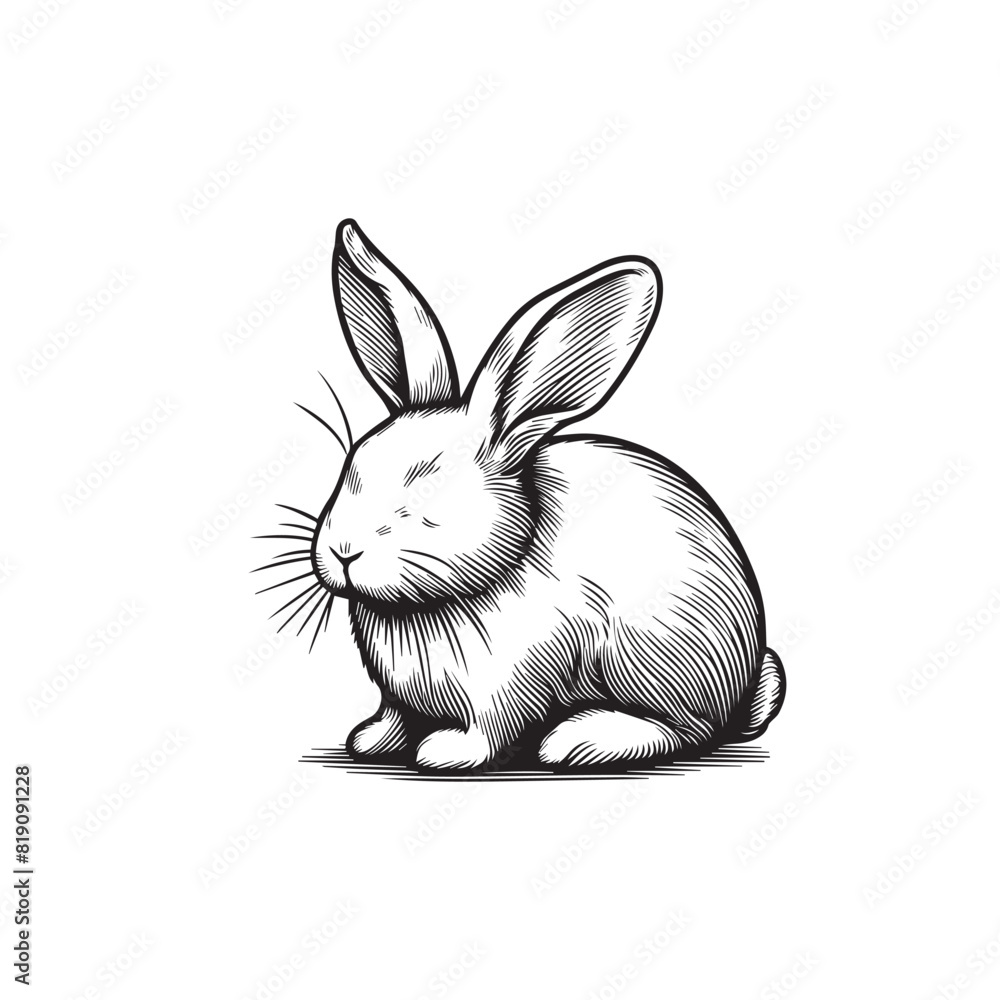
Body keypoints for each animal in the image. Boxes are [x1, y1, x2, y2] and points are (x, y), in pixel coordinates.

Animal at [288, 219, 784, 770]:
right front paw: (373, 740)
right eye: (349, 469)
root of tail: (745, 690)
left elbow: (490, 729)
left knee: (688, 730)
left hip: (651, 661)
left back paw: (580, 740)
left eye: (432, 493)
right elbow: (395, 715)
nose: (344, 551)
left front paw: (446, 753)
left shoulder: (509, 682)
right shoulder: (397, 695)